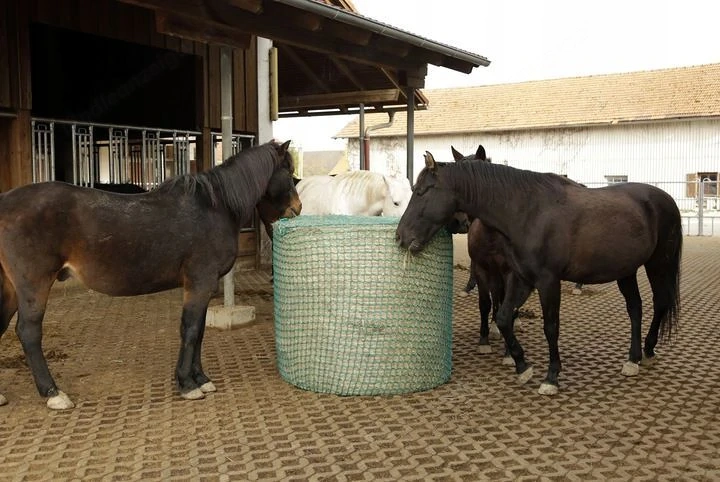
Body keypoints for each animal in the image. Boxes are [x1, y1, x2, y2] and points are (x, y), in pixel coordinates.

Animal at [0, 140, 302, 410]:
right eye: (288, 172)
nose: (297, 209)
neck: (215, 208)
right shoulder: (200, 282)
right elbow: (191, 330)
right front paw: (187, 384)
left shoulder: (203, 287)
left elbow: (200, 331)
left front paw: (201, 378)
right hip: (34, 285)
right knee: (28, 332)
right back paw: (53, 393)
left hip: (11, 288)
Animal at [396, 152, 682, 395]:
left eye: (421, 192)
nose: (400, 236)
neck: (528, 212)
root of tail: (664, 198)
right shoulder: (522, 278)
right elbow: (503, 317)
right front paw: (522, 366)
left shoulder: (548, 281)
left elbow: (550, 327)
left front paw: (551, 377)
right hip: (626, 270)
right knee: (635, 308)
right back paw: (633, 359)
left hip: (659, 264)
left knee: (660, 302)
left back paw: (648, 349)